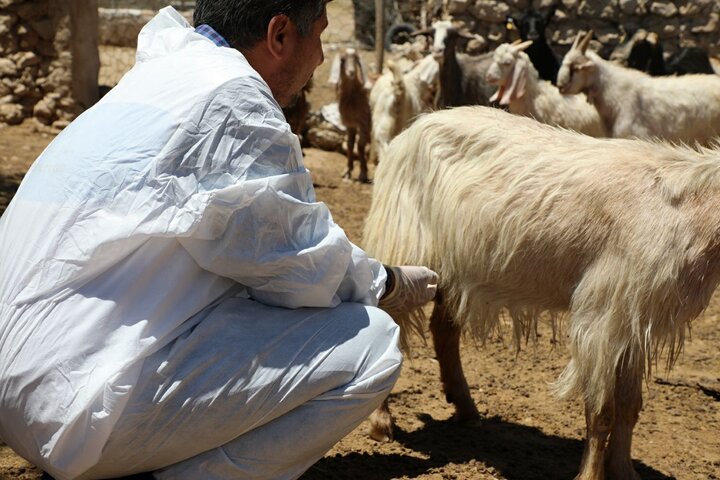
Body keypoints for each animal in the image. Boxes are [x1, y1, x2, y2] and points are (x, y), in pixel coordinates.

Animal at [328, 47, 372, 182]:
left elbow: (360, 146)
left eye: (356, 59)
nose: (351, 72)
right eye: (343, 60)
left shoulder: (364, 122)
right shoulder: (350, 124)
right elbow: (350, 145)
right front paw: (347, 172)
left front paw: (363, 174)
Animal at [362, 105, 720, 480]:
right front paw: (590, 475)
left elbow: (629, 406)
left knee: (444, 330)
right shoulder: (605, 314)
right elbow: (602, 411)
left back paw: (466, 408)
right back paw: (381, 422)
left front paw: (624, 471)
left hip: (455, 266)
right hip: (403, 240)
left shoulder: (636, 317)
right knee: (391, 318)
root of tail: (413, 128)